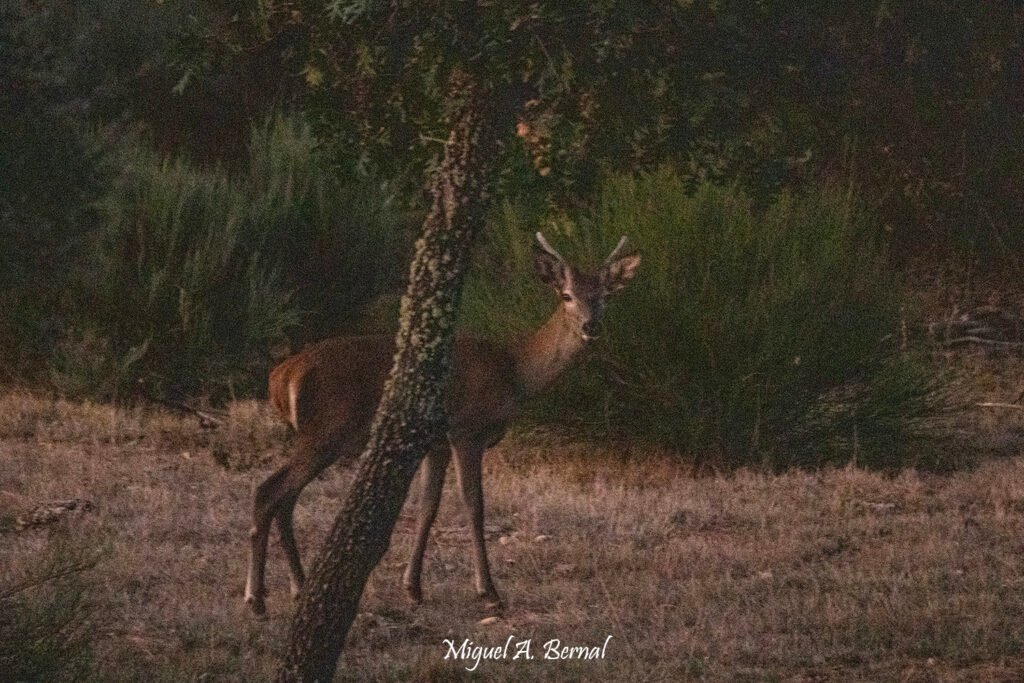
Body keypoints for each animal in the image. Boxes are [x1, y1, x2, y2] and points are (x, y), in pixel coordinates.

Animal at [244, 232, 641, 616]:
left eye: (606, 295)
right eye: (566, 294)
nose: (591, 326)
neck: (514, 372)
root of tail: (282, 375)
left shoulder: (435, 443)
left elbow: (427, 506)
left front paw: (413, 588)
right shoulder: (467, 430)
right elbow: (473, 505)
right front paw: (489, 592)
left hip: (317, 436)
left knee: (285, 499)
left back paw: (297, 587)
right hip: (327, 430)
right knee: (269, 491)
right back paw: (256, 599)